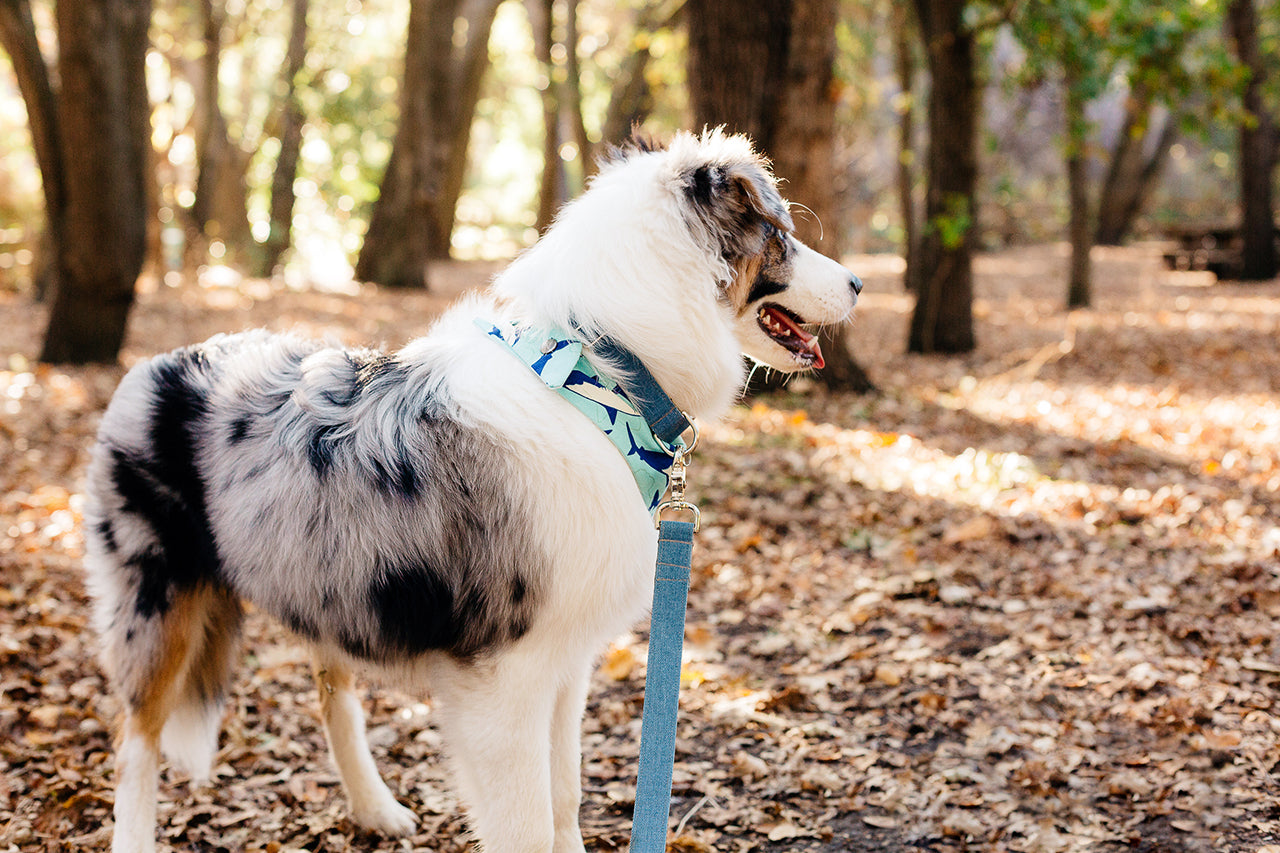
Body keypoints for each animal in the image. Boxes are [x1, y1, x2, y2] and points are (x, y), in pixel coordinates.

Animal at [85, 128, 865, 850]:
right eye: (782, 237)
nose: (858, 283)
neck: (593, 378)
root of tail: (158, 362)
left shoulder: (565, 661)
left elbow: (564, 798)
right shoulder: (501, 682)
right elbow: (526, 825)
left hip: (326, 582)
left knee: (332, 692)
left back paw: (374, 808)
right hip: (158, 605)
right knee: (136, 743)